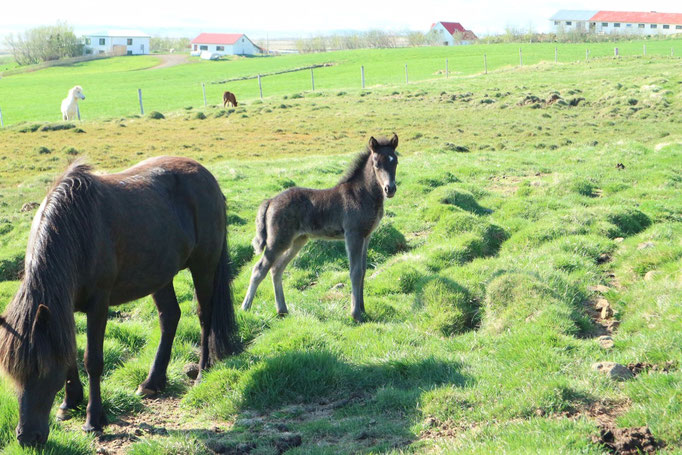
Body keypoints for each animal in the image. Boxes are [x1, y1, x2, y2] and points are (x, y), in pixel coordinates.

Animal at [0, 156, 239, 446]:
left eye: (42, 371)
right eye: (12, 373)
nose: (27, 438)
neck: (76, 230)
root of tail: (207, 176)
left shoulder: (98, 305)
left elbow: (92, 360)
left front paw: (93, 420)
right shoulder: (65, 308)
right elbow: (70, 351)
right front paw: (69, 403)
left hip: (204, 266)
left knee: (205, 315)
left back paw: (202, 372)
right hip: (160, 274)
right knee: (170, 317)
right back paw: (152, 382)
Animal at [240, 134, 396, 320]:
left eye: (395, 161)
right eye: (377, 163)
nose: (390, 189)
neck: (362, 194)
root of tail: (270, 201)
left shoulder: (366, 236)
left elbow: (364, 270)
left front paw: (363, 309)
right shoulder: (353, 235)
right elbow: (355, 271)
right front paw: (356, 314)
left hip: (298, 240)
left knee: (277, 268)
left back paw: (282, 310)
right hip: (277, 241)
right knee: (260, 269)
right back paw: (245, 308)